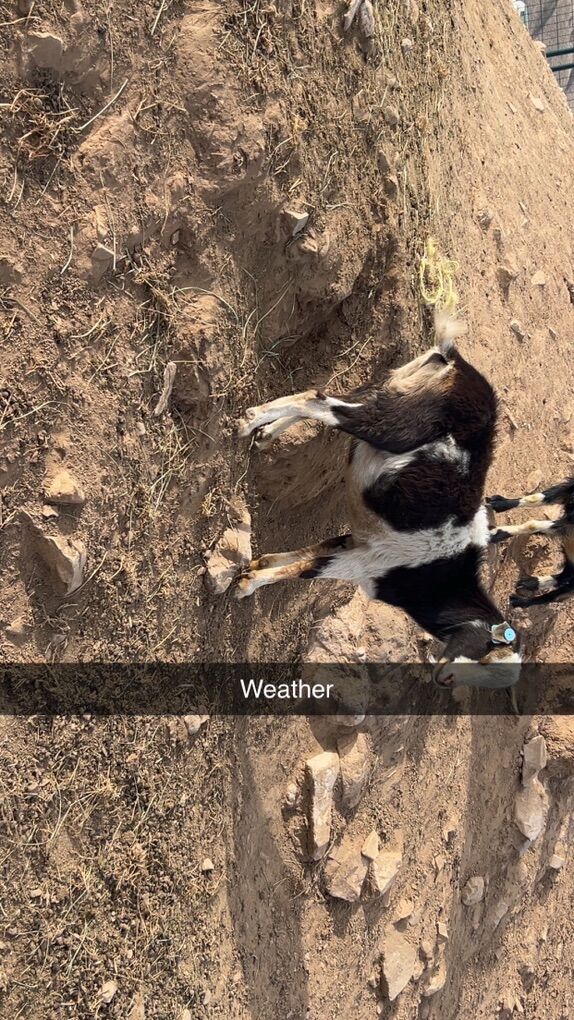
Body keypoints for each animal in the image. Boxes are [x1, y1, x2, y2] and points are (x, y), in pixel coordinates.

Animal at [236, 313, 522, 690]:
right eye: (486, 653)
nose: (443, 680)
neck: (437, 577)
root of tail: (455, 361)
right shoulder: (368, 565)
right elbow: (308, 569)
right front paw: (247, 585)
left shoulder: (360, 544)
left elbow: (310, 552)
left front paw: (257, 566)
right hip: (397, 424)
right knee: (322, 402)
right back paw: (249, 421)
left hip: (392, 388)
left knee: (336, 399)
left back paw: (266, 432)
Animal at [488, 477, 574, 607]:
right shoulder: (568, 488)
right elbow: (538, 497)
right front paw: (499, 503)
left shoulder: (570, 522)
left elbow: (532, 524)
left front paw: (496, 533)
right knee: (565, 574)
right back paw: (530, 583)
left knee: (556, 596)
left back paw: (520, 601)